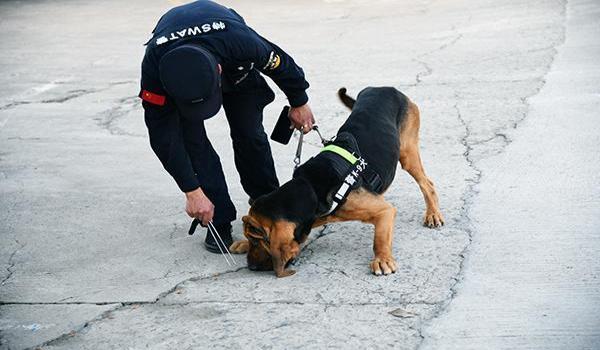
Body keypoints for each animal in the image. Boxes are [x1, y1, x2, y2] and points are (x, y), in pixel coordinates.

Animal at [227, 88, 442, 278]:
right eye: (252, 240)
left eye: (258, 241)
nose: (251, 267)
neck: (310, 187)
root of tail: (385, 88)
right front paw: (241, 244)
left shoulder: (384, 211)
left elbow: (379, 239)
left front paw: (382, 260)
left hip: (407, 152)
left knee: (427, 184)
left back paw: (433, 215)